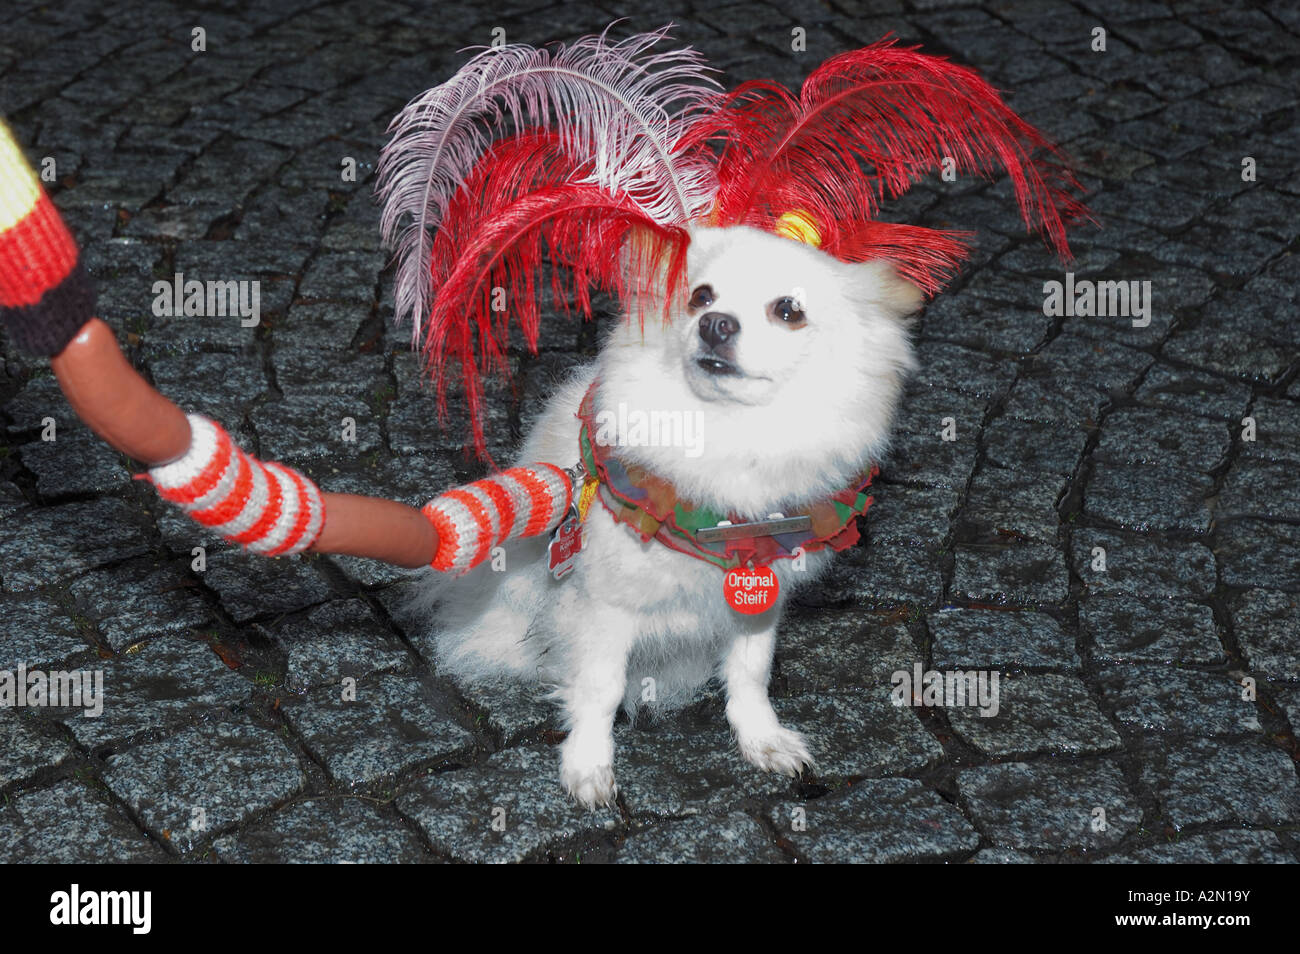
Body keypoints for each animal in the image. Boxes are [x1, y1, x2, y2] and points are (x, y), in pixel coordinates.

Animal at [410, 222, 920, 805]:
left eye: (789, 310)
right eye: (700, 297)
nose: (715, 324)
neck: (726, 449)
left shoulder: (758, 603)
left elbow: (751, 675)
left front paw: (762, 740)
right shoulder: (606, 607)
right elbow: (601, 689)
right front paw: (588, 766)